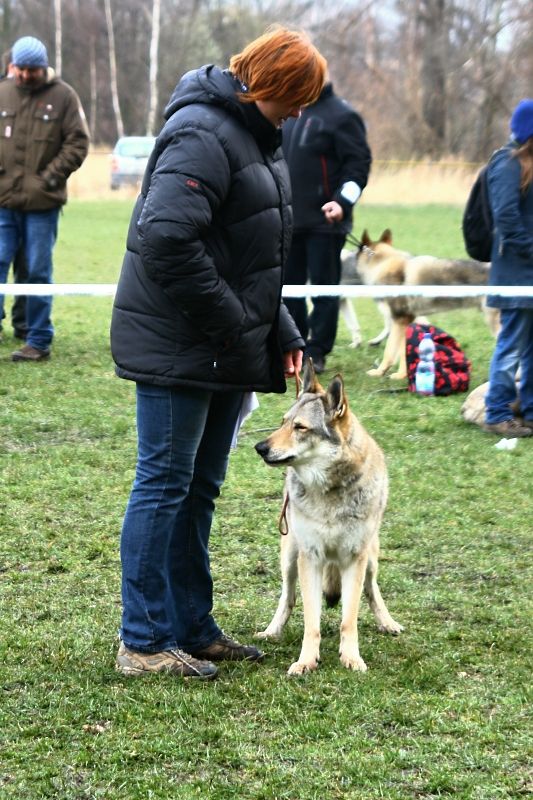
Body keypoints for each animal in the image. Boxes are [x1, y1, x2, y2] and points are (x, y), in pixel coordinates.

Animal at [254, 360, 400, 672]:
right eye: (283, 422)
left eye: (300, 427)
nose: (259, 447)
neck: (329, 491)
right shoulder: (311, 557)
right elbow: (312, 621)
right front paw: (306, 662)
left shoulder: (354, 559)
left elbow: (349, 619)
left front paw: (352, 658)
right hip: (290, 556)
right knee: (287, 597)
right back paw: (271, 632)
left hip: (370, 558)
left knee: (372, 589)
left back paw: (388, 622)